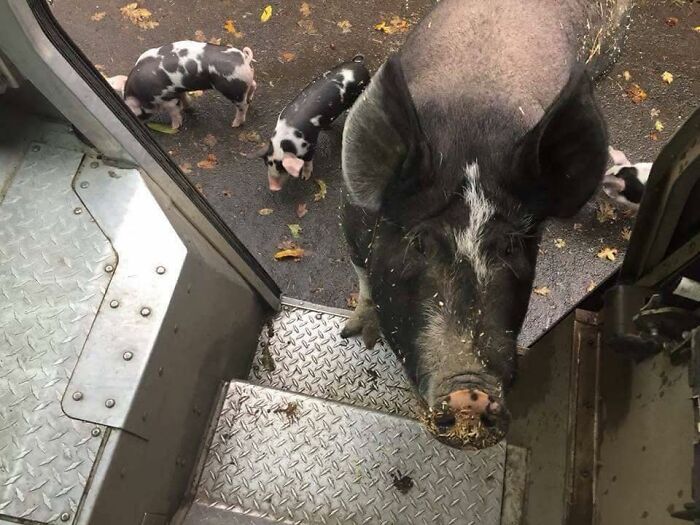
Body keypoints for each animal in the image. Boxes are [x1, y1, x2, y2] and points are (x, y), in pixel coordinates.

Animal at [123, 41, 256, 129]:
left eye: (137, 114)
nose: (142, 124)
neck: (139, 94)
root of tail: (244, 60)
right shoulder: (178, 89)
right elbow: (184, 98)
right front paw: (188, 108)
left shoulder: (167, 98)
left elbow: (174, 111)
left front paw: (174, 127)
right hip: (245, 84)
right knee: (253, 85)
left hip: (234, 91)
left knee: (243, 106)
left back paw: (235, 124)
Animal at [260, 56, 370, 192]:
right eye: (267, 164)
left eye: (282, 168)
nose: (273, 188)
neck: (288, 137)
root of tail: (359, 64)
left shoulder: (311, 142)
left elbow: (308, 161)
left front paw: (305, 177)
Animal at [340, 0, 630, 446]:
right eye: (419, 243)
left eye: (511, 245)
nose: (471, 393)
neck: (469, 133)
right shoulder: (352, 219)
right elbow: (362, 276)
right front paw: (359, 333)